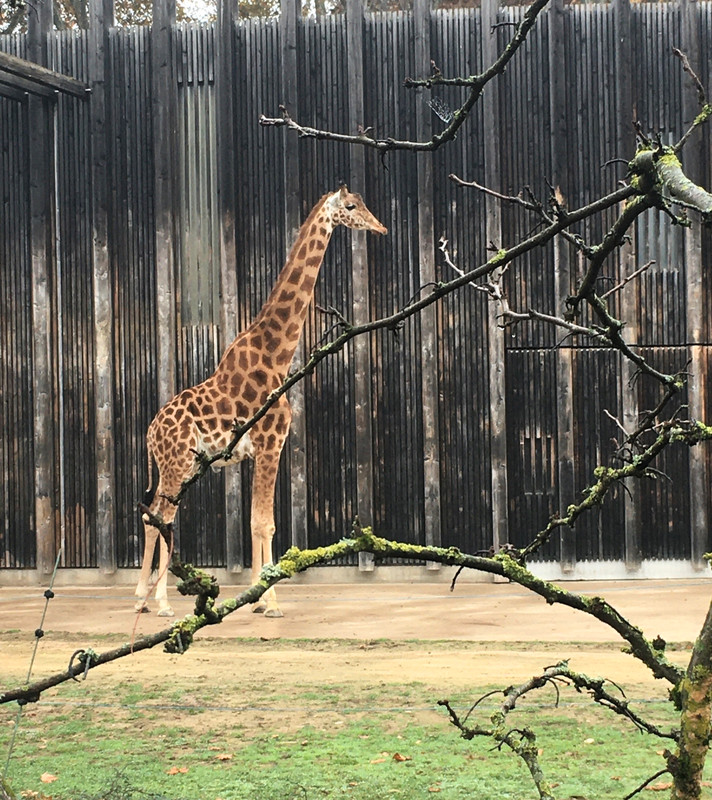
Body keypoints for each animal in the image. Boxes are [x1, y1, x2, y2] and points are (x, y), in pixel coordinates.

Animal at [136, 186, 386, 620]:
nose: (381, 228)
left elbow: (260, 521)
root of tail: (151, 432)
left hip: (181, 468)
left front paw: (257, 598)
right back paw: (160, 602)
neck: (277, 354)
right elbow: (262, 523)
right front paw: (269, 602)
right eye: (352, 206)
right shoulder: (271, 443)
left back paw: (144, 598)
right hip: (176, 463)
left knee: (157, 516)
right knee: (160, 518)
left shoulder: (259, 451)